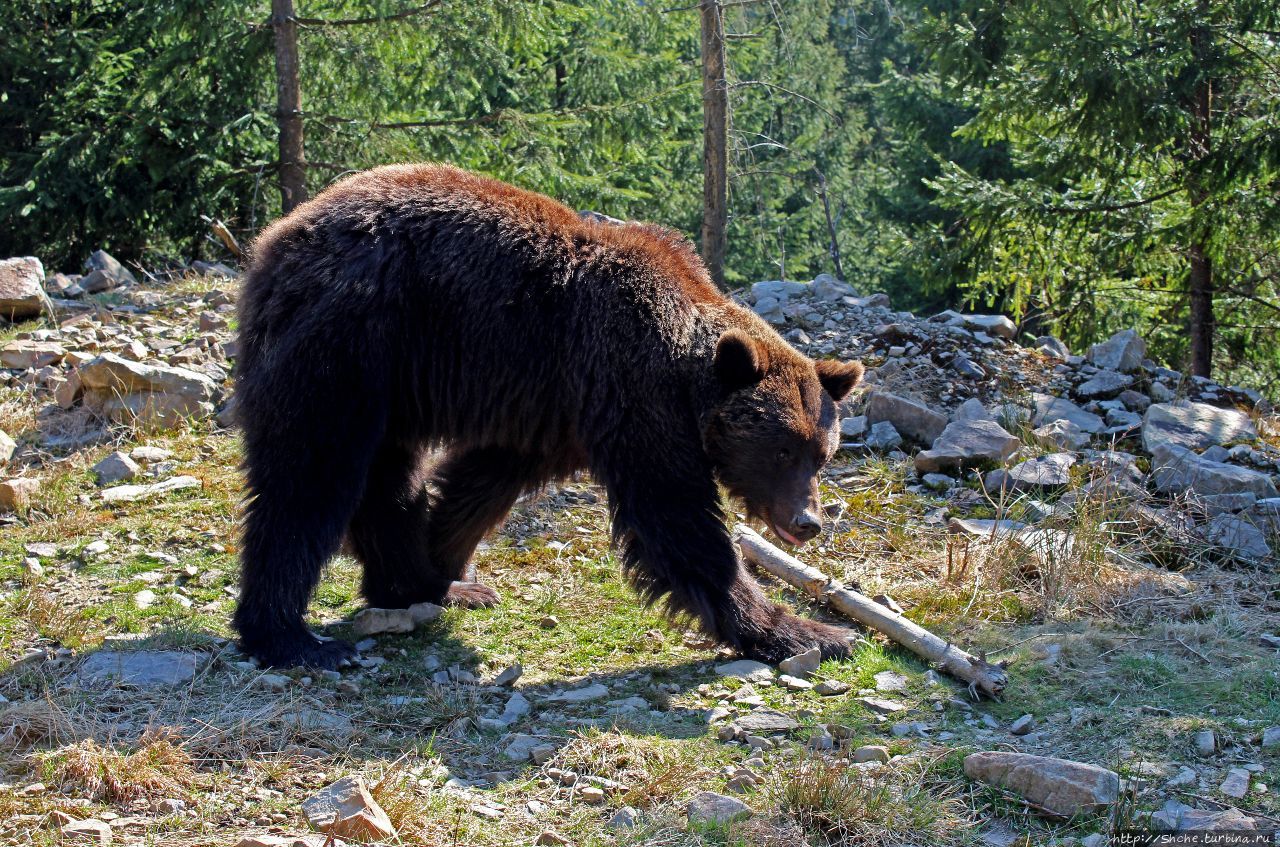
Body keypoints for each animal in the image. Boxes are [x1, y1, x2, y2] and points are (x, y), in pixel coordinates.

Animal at [235, 163, 865, 670]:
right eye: (781, 449)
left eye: (822, 455)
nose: (808, 520)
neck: (684, 372)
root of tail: (276, 239)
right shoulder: (627, 386)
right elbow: (675, 519)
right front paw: (810, 632)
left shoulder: (554, 407)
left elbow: (482, 480)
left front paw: (444, 566)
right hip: (350, 344)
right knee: (308, 479)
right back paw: (289, 638)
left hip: (391, 381)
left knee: (387, 477)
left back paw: (408, 583)